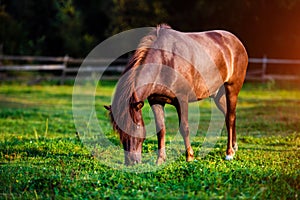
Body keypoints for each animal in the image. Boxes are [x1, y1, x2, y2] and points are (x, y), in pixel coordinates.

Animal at [104, 24, 247, 166]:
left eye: (136, 127)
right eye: (119, 131)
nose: (131, 162)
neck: (164, 61)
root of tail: (236, 41)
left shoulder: (182, 100)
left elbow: (184, 128)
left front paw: (189, 157)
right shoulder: (155, 101)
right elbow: (160, 129)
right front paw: (160, 159)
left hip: (232, 89)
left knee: (230, 118)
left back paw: (229, 153)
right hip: (218, 95)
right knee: (229, 115)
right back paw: (234, 146)